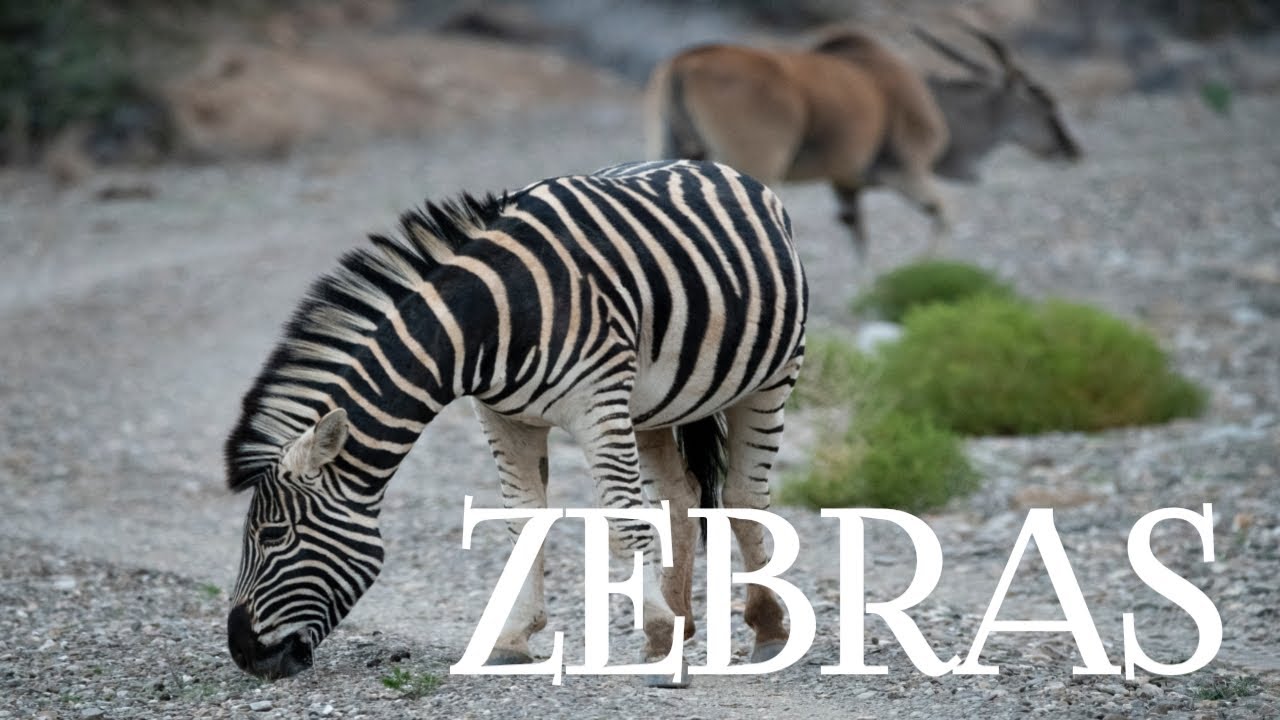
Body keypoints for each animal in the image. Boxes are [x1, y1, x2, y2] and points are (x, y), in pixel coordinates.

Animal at [223, 159, 809, 685]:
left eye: (273, 534)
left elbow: (623, 520)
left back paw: (766, 629)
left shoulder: (598, 404)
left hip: (771, 377)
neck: (492, 318)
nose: (244, 654)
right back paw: (678, 623)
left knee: (743, 496)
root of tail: (710, 164)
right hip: (653, 406)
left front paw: (663, 643)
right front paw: (512, 640)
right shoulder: (504, 417)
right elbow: (525, 522)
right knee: (680, 498)